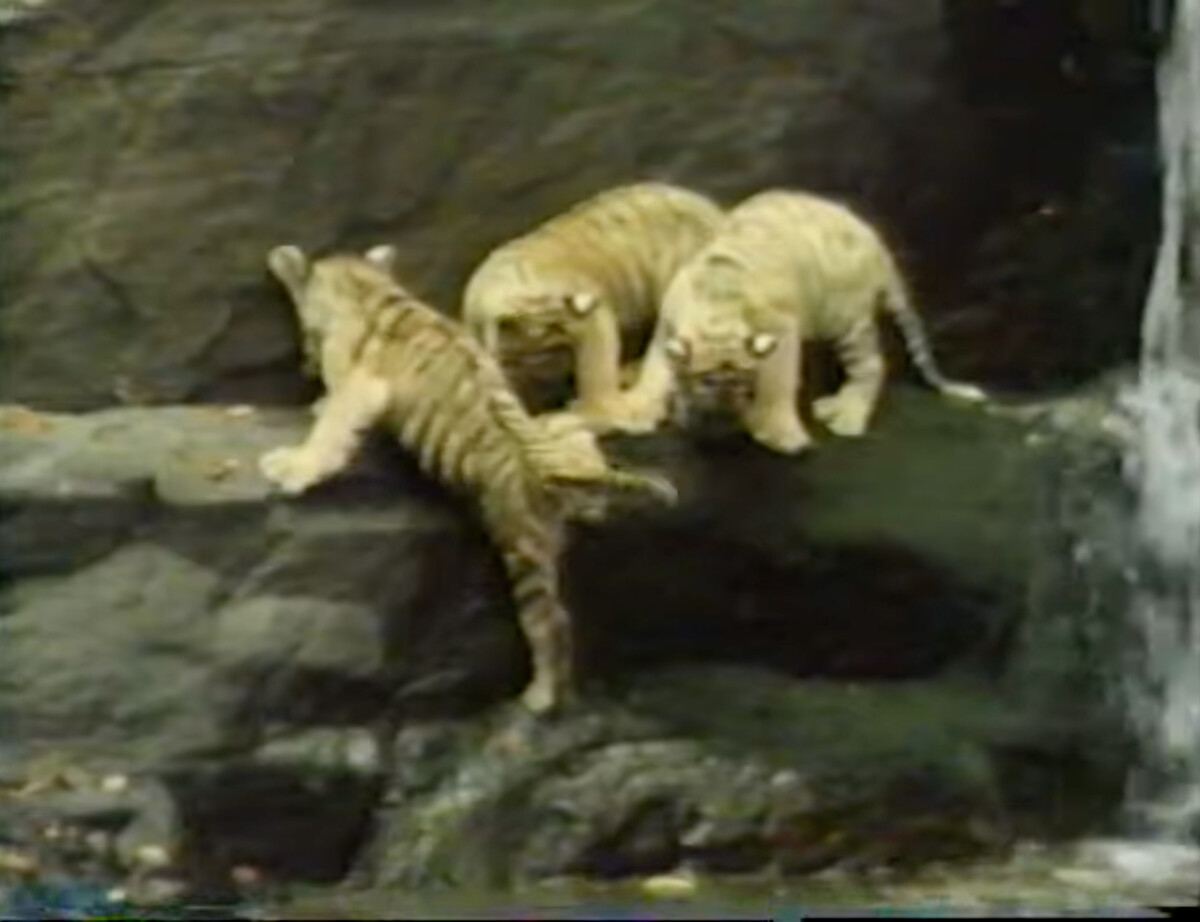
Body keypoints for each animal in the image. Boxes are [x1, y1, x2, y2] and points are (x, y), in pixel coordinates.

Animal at [257, 243, 678, 715]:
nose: (304, 361)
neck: (369, 288)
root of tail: (560, 472)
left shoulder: (360, 384)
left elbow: (332, 424)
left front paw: (292, 465)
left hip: (521, 548)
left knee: (551, 623)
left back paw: (538, 696)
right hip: (565, 445)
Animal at [607, 189, 988, 454]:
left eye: (744, 379)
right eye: (709, 379)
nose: (730, 408)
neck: (718, 313)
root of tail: (875, 243)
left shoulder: (782, 331)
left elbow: (778, 384)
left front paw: (781, 434)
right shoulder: (668, 325)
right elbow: (655, 370)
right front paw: (640, 409)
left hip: (846, 318)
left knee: (872, 364)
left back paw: (846, 415)